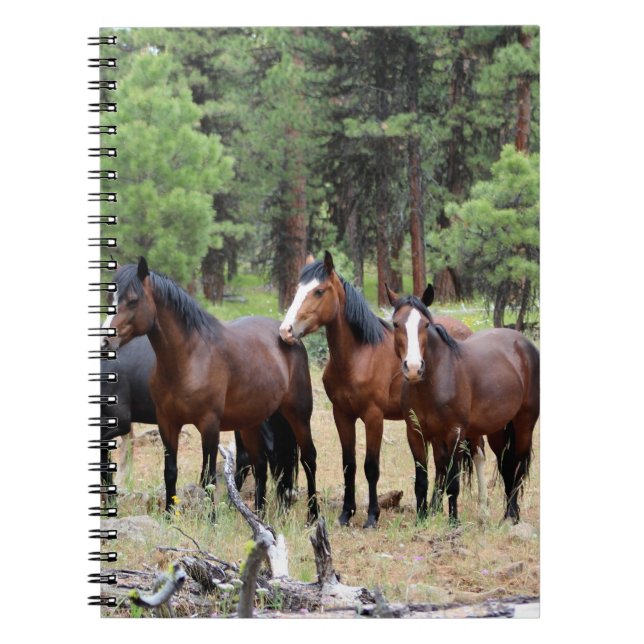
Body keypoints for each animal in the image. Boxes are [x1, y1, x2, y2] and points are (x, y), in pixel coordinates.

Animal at [278, 251, 480, 528]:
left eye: (319, 291)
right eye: (298, 289)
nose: (286, 331)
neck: (359, 356)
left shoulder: (374, 417)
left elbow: (370, 467)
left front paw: (372, 516)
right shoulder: (342, 415)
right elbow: (349, 465)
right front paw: (346, 513)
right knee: (440, 464)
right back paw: (435, 508)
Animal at [386, 283, 540, 524]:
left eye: (425, 324)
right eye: (396, 323)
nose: (413, 368)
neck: (435, 380)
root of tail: (524, 344)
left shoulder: (455, 433)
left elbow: (453, 482)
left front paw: (453, 521)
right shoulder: (416, 434)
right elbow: (422, 480)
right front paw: (422, 518)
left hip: (524, 424)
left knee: (517, 467)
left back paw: (512, 516)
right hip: (497, 430)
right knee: (505, 466)